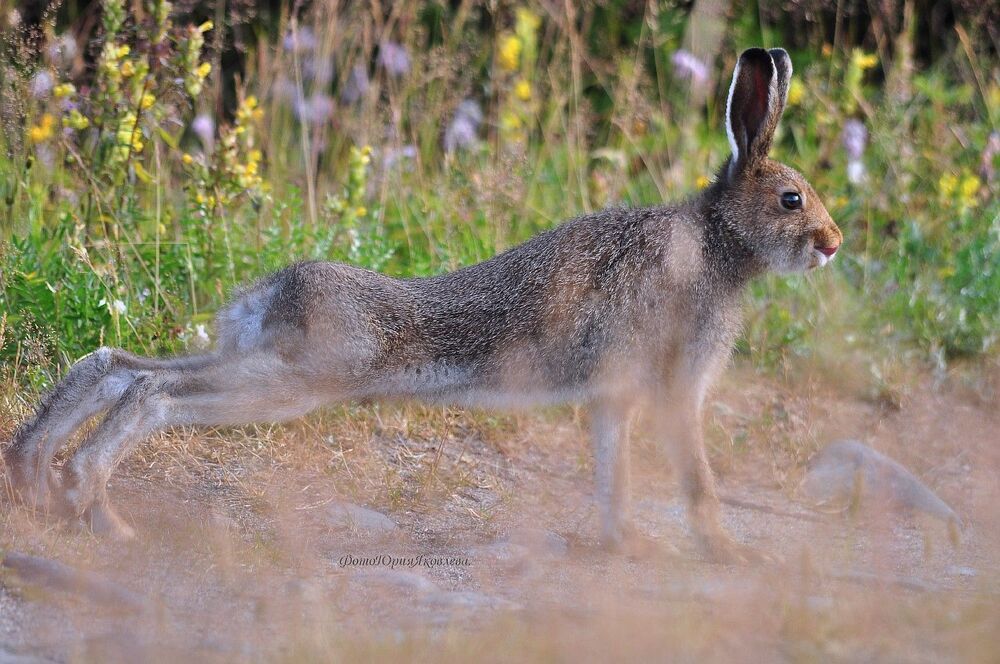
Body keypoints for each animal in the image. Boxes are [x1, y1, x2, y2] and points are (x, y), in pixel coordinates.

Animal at [4, 47, 841, 561]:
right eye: (791, 199)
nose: (832, 243)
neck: (718, 242)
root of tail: (278, 288)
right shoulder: (673, 390)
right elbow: (696, 481)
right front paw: (725, 554)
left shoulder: (613, 399)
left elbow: (615, 480)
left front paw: (624, 546)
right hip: (296, 379)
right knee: (151, 392)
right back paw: (99, 512)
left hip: (253, 356)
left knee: (113, 363)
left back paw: (36, 476)